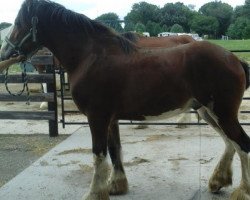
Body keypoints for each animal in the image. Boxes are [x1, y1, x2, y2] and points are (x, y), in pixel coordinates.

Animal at [1, 0, 250, 199]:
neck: (91, 57)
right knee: (230, 143)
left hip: (223, 114)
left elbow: (99, 154)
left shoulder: (97, 117)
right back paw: (218, 181)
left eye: (19, 22)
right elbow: (114, 150)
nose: (4, 53)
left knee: (242, 144)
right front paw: (116, 186)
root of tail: (234, 59)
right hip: (207, 112)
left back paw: (242, 191)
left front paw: (94, 193)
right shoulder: (110, 119)